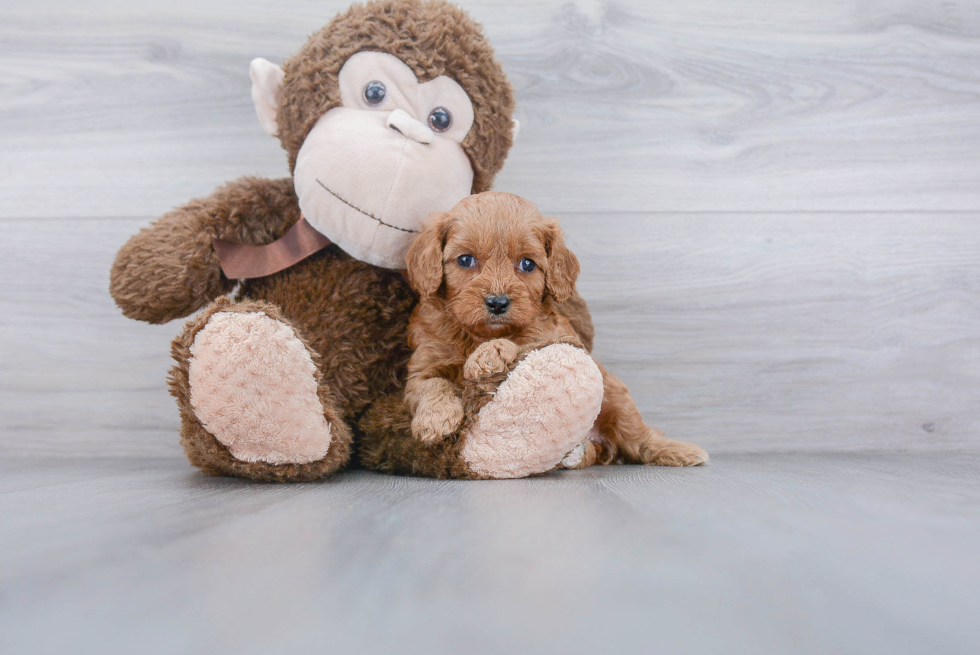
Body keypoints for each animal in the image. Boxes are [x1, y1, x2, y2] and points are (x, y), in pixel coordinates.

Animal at [402, 192, 708, 468]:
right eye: (465, 260)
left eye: (527, 264)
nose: (498, 302)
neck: (478, 333)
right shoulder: (423, 366)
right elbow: (431, 384)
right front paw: (435, 419)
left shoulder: (558, 337)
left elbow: (525, 342)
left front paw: (489, 354)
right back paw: (575, 454)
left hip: (615, 395)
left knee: (638, 436)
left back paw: (676, 450)